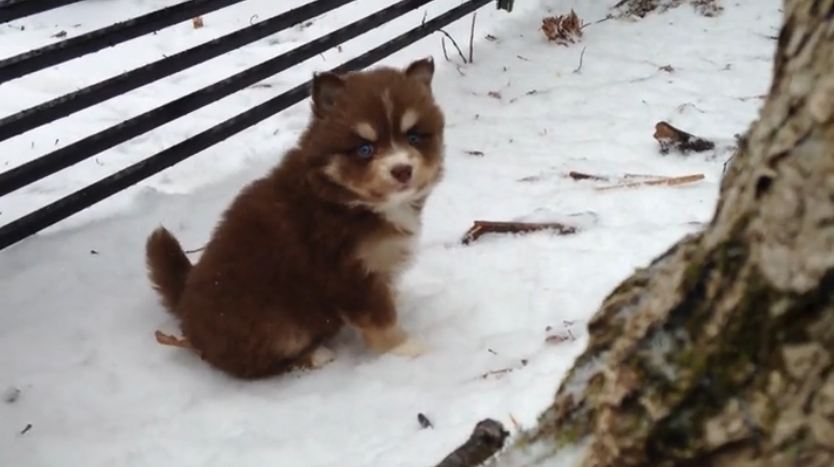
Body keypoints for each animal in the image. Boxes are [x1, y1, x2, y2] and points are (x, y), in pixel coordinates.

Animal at [145, 58, 442, 380]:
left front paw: (395, 300)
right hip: (277, 327)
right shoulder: (347, 274)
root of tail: (185, 306)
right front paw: (404, 348)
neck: (343, 196)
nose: (402, 170)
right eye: (365, 149)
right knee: (254, 365)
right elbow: (380, 319)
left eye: (413, 137)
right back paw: (316, 355)